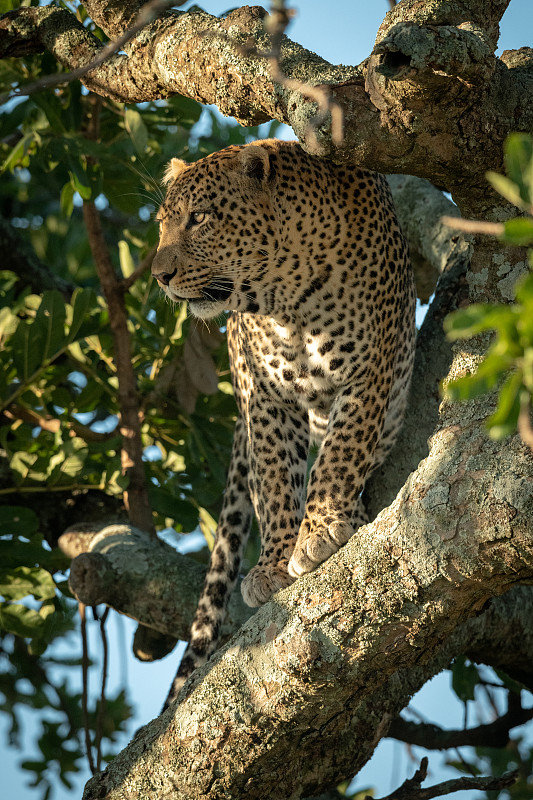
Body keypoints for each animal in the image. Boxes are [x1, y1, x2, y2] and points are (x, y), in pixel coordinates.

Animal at [151, 141, 416, 708]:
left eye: (199, 218)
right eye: (163, 225)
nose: (160, 275)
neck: (287, 301)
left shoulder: (369, 372)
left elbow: (340, 454)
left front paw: (320, 530)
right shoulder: (263, 397)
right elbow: (274, 484)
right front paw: (274, 562)